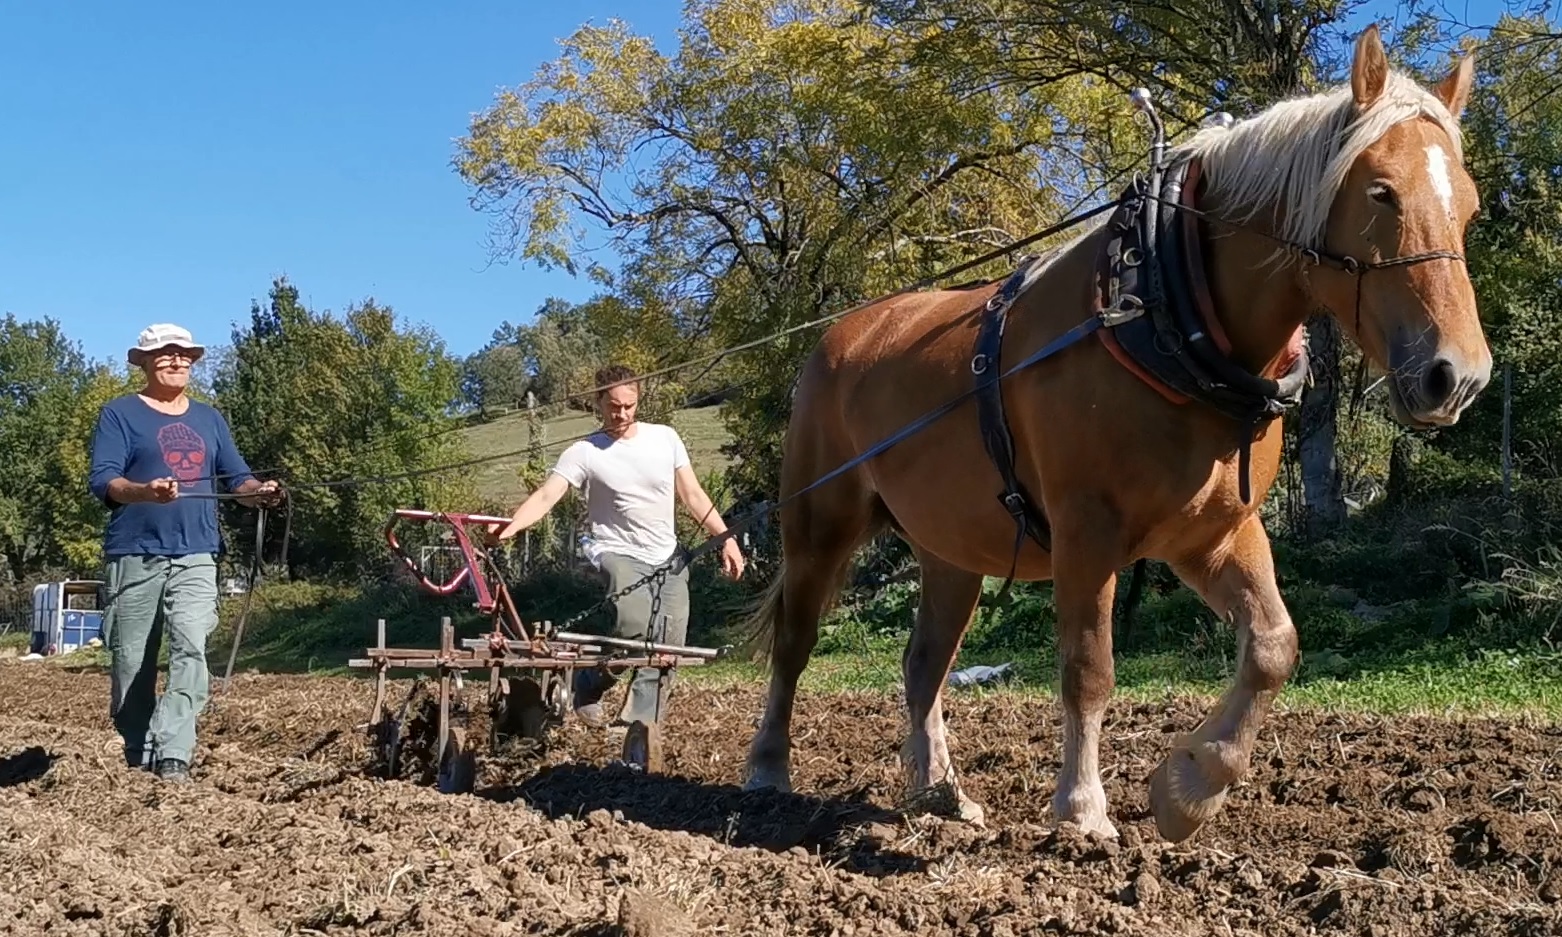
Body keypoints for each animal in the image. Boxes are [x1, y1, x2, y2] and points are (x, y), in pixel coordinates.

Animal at [740, 25, 1487, 843]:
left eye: (1471, 207)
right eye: (1380, 190)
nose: (1458, 375)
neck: (1163, 309)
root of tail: (842, 334)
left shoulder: (1214, 533)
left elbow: (1273, 646)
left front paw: (1189, 786)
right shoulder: (1085, 531)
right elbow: (1089, 669)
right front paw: (1082, 807)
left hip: (951, 549)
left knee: (924, 661)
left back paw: (938, 791)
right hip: (819, 525)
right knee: (795, 643)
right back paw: (769, 772)